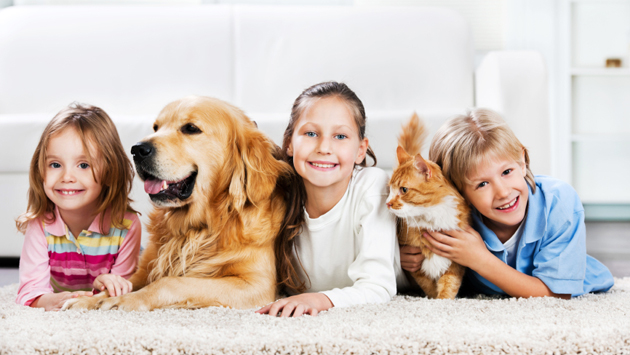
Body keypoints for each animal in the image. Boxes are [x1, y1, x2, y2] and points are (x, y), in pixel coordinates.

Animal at [63, 96, 296, 312]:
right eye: (156, 127)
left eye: (191, 128)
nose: (137, 149)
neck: (199, 227)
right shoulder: (146, 268)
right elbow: (123, 282)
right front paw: (88, 299)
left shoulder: (255, 283)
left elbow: (169, 282)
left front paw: (123, 300)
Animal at [388, 114, 472, 300]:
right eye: (389, 190)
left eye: (403, 190)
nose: (387, 203)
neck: (431, 220)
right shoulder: (418, 268)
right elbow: (430, 288)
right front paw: (433, 301)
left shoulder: (454, 262)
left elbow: (448, 286)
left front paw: (442, 300)